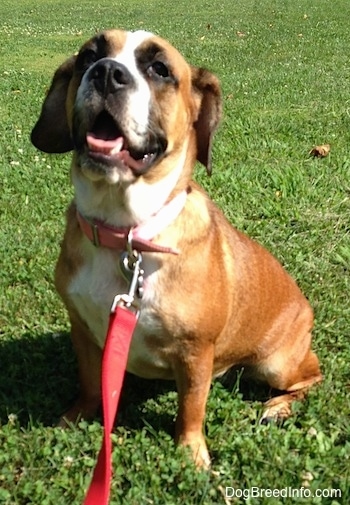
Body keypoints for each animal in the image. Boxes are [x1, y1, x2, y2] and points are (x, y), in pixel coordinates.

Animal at [31, 29, 322, 466]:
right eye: (88, 56)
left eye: (160, 68)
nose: (106, 73)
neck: (126, 231)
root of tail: (306, 306)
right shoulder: (82, 329)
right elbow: (90, 382)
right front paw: (76, 416)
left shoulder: (195, 351)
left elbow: (191, 405)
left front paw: (190, 453)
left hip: (278, 364)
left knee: (312, 376)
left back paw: (277, 407)